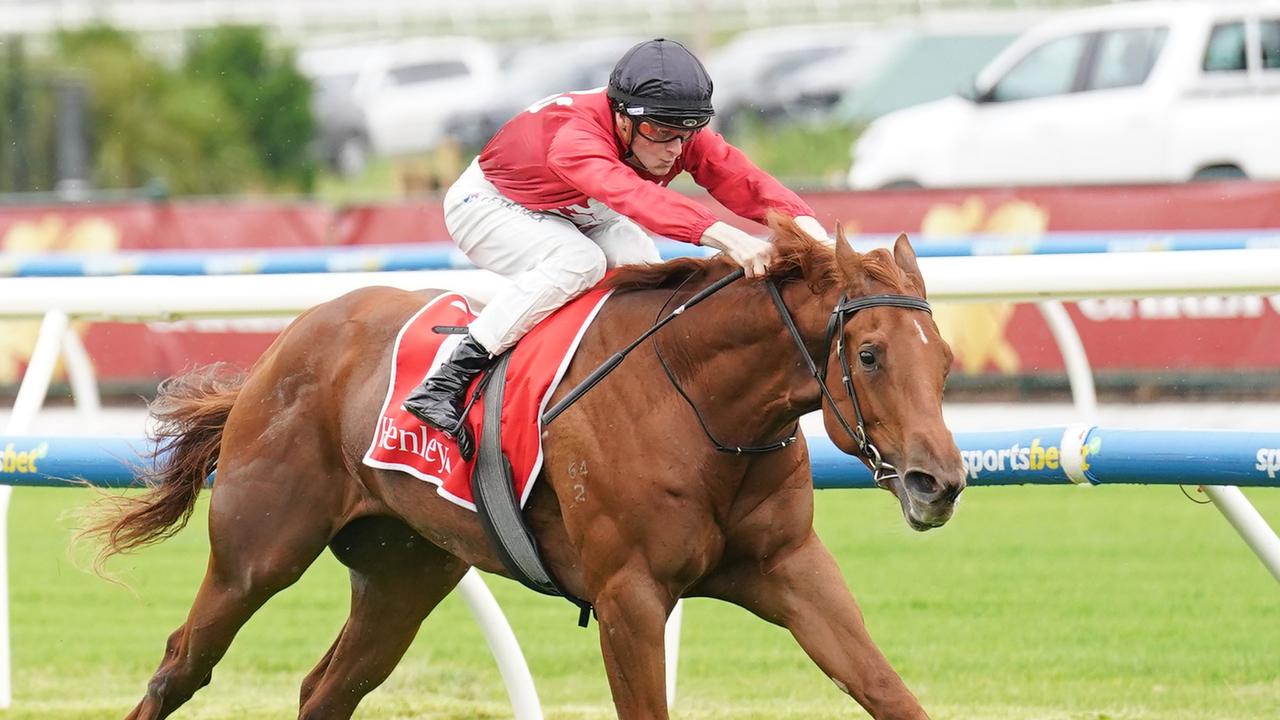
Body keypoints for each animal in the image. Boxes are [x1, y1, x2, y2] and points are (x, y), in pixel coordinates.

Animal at [87, 219, 962, 717]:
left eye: (946, 361)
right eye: (871, 354)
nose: (941, 483)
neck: (699, 403)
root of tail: (283, 346)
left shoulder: (790, 568)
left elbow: (887, 690)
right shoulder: (630, 596)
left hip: (404, 574)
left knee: (326, 689)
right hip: (256, 553)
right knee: (180, 666)